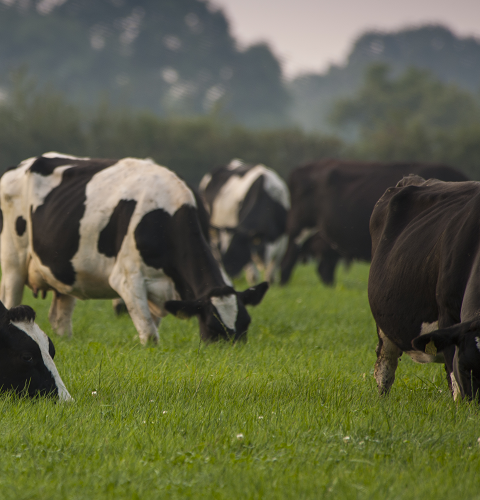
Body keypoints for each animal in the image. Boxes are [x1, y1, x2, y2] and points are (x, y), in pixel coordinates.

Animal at [0, 154, 268, 346]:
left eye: (246, 323)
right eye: (213, 327)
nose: (233, 351)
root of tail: (22, 164)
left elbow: (152, 327)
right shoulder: (127, 279)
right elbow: (150, 336)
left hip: (63, 271)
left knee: (59, 319)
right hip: (13, 263)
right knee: (11, 299)